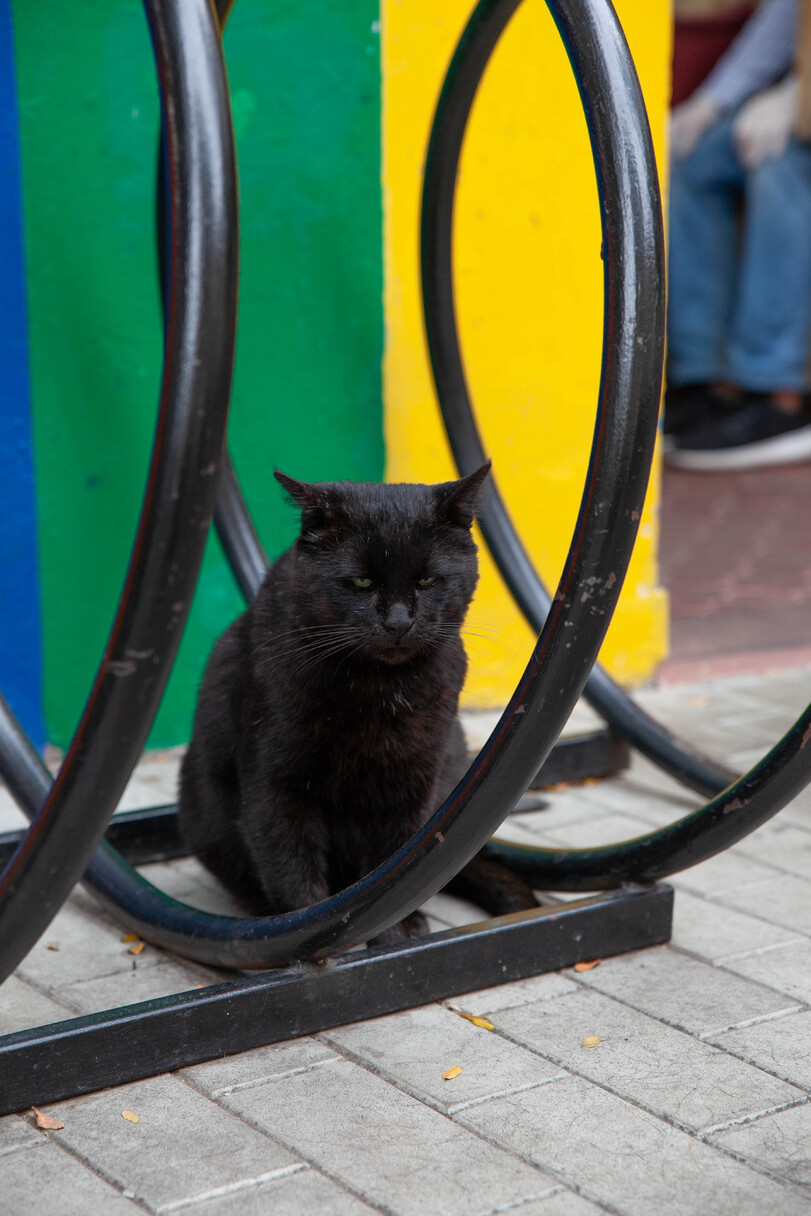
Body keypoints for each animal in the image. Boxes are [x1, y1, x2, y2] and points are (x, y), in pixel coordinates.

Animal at [178, 459, 539, 943]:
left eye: (428, 579)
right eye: (362, 581)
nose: (399, 622)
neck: (376, 692)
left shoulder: (413, 784)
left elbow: (389, 873)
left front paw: (392, 938)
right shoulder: (275, 784)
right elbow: (292, 869)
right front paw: (311, 939)